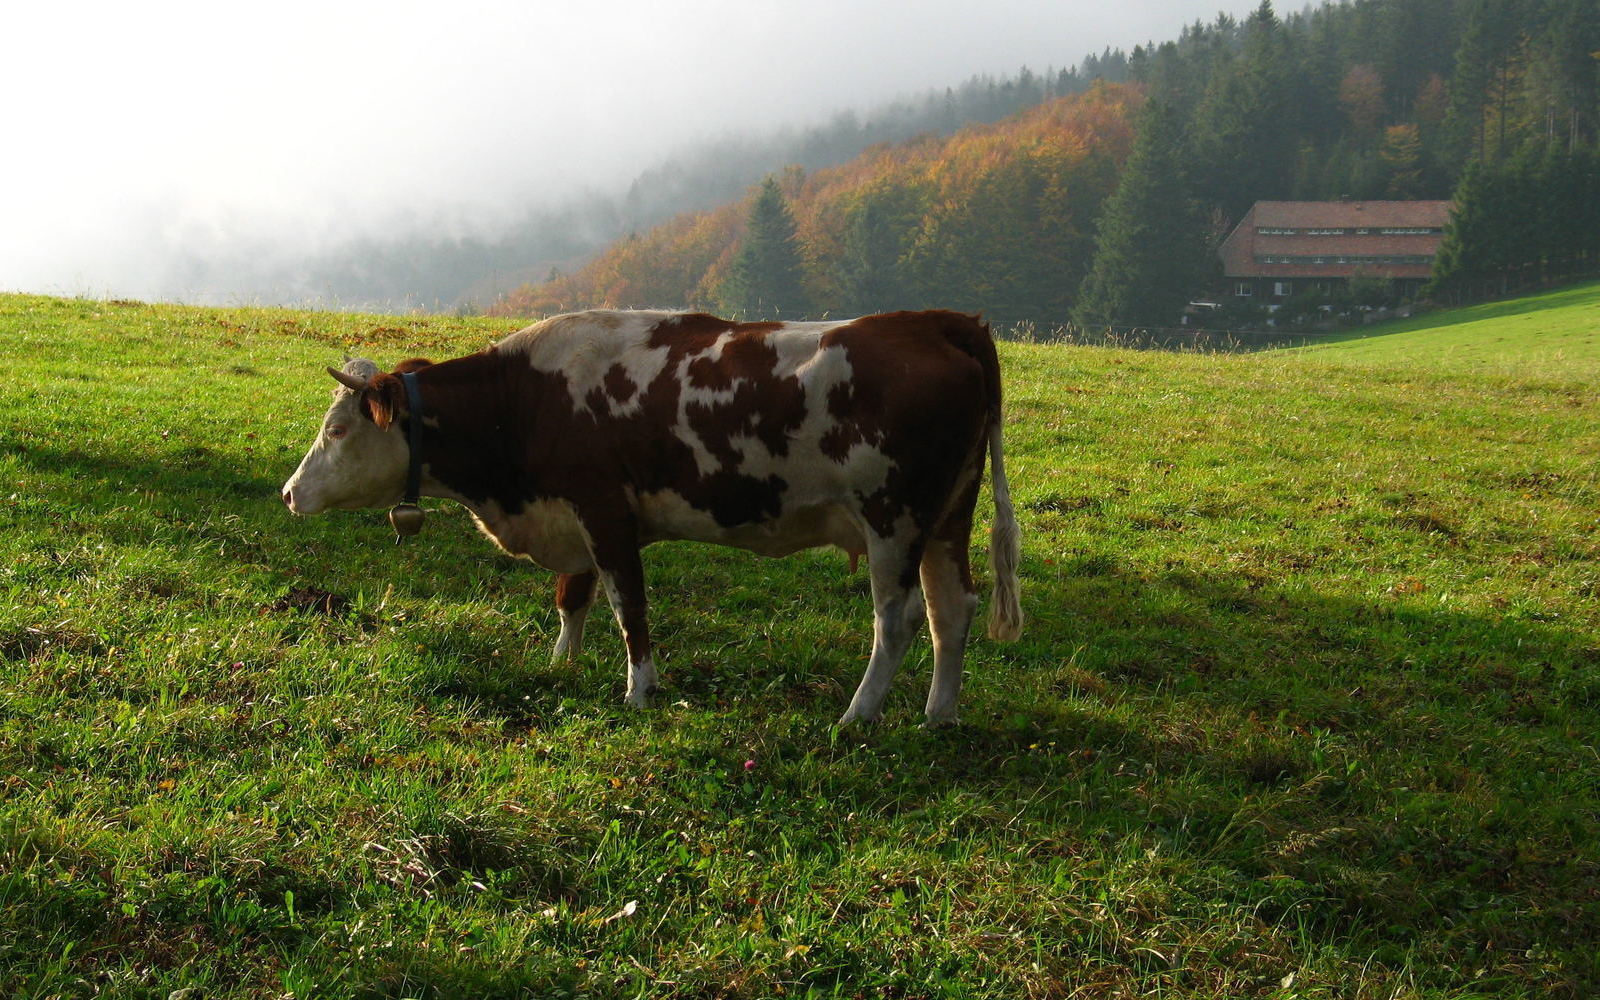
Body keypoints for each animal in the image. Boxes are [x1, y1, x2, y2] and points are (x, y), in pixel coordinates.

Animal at [280, 308, 1017, 720]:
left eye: (338, 429)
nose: (290, 493)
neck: (524, 400)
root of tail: (938, 320)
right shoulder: (571, 514)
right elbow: (572, 596)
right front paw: (562, 664)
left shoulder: (605, 508)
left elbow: (625, 604)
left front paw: (639, 690)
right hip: (947, 517)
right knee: (952, 609)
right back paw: (939, 715)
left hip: (894, 517)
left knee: (897, 620)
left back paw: (858, 716)